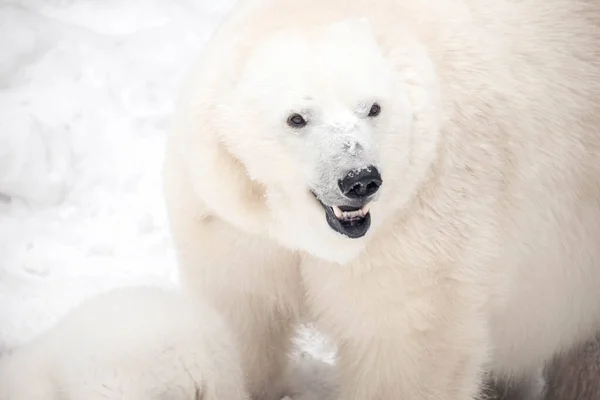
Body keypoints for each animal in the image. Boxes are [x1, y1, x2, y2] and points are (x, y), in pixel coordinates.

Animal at [162, 0, 596, 398]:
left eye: (373, 108)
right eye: (297, 118)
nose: (360, 180)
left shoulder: (421, 231)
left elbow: (401, 349)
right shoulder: (238, 231)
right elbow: (245, 324)